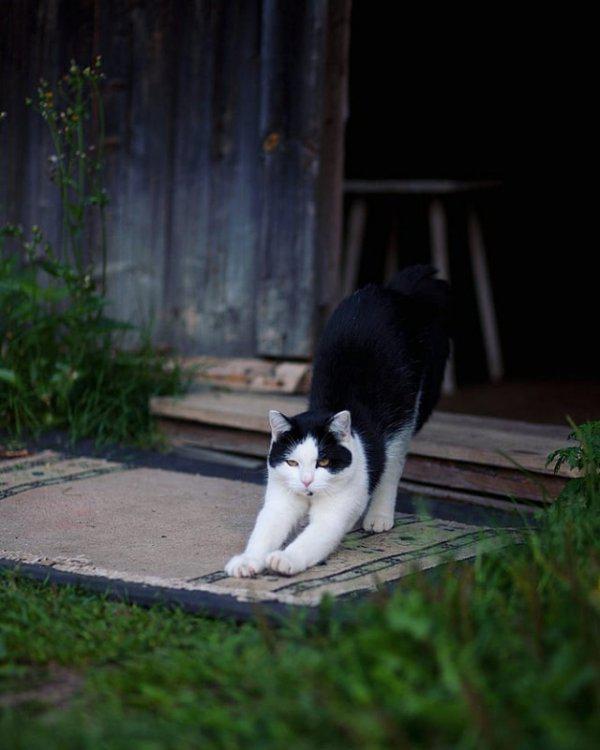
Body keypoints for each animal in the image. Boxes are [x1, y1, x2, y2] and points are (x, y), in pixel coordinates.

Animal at [226, 268, 450, 580]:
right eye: (293, 463)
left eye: (323, 462)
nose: (307, 480)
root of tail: (389, 290)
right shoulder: (279, 501)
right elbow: (264, 532)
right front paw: (247, 561)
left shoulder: (335, 513)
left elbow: (312, 538)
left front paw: (284, 559)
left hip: (404, 412)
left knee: (393, 463)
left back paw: (379, 516)